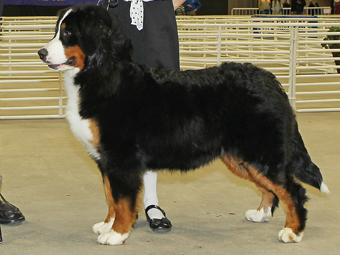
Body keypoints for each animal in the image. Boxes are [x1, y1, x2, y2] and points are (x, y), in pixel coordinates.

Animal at [37, 3, 330, 246]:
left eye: (68, 33)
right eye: (57, 30)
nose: (41, 52)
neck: (102, 73)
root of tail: (271, 81)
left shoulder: (121, 158)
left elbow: (121, 200)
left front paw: (117, 234)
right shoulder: (105, 160)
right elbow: (110, 196)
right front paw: (107, 225)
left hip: (261, 152)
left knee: (293, 190)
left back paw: (292, 231)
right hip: (240, 157)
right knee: (270, 189)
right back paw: (260, 214)